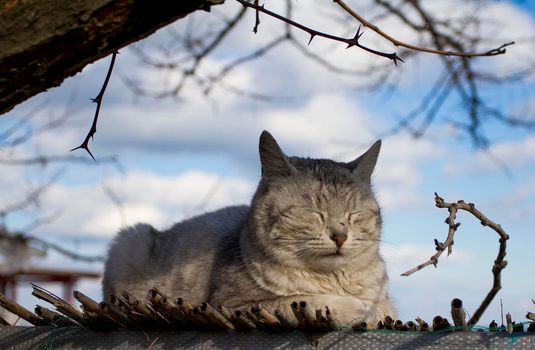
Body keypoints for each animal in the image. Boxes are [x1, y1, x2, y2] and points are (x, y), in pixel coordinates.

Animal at [102, 130, 396, 326]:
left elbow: (385, 309)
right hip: (131, 238)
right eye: (314, 212)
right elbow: (307, 300)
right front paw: (359, 309)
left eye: (354, 214)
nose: (340, 236)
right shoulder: (236, 304)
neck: (334, 281)